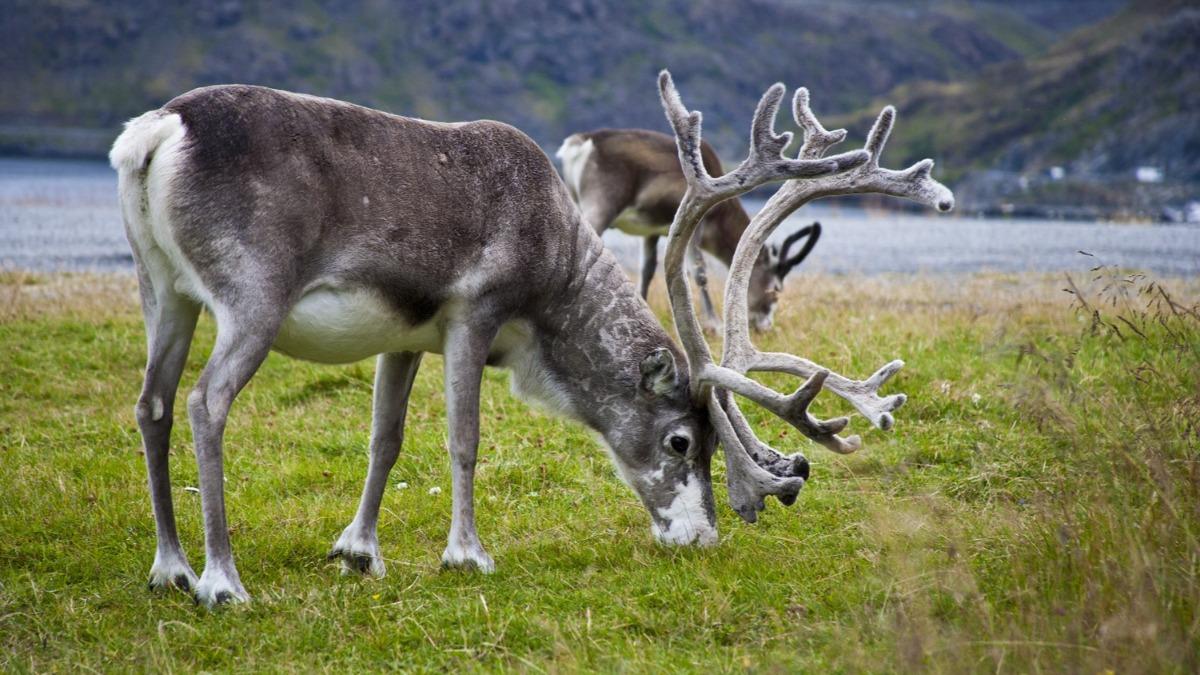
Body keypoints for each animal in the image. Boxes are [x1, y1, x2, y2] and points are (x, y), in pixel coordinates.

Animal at [556, 128, 821, 332]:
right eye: (775, 290)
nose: (765, 327)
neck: (720, 218)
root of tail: (580, 143)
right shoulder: (698, 223)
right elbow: (699, 272)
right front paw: (714, 323)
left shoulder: (652, 231)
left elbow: (648, 270)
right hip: (602, 203)